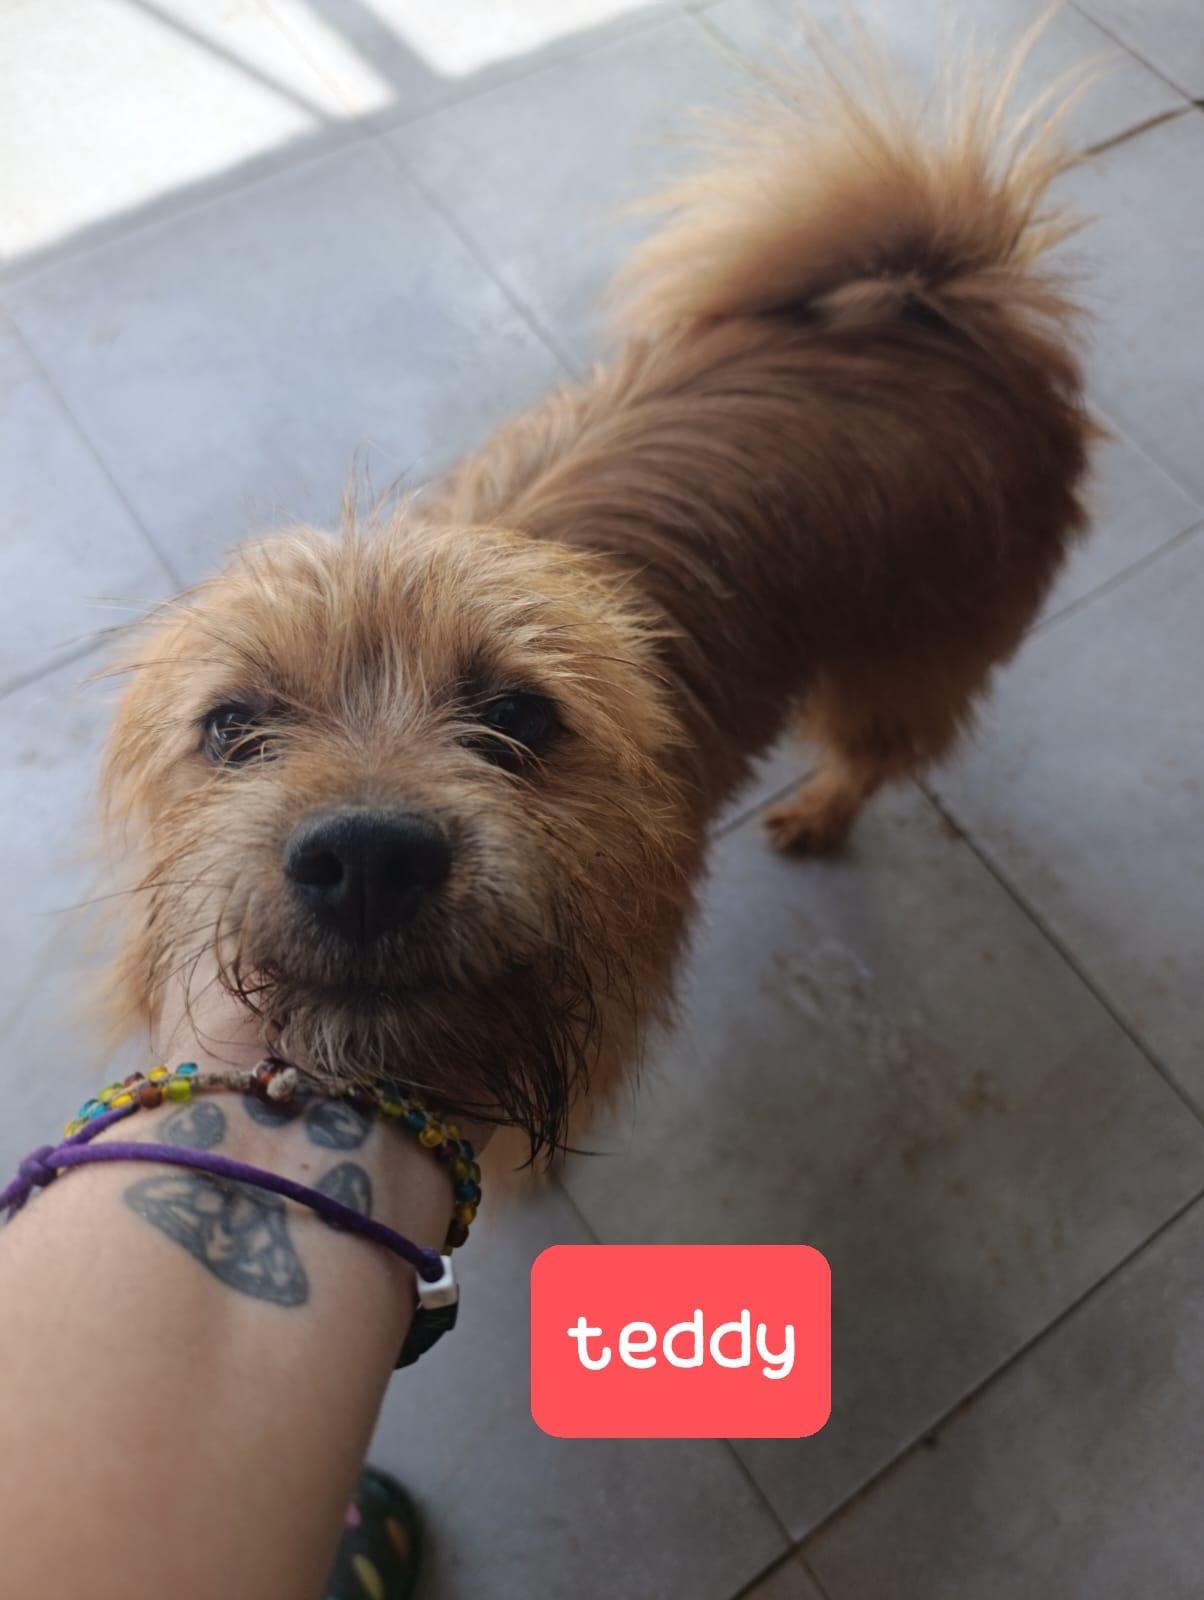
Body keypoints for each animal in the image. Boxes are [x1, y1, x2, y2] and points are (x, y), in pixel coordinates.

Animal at [99, 28, 1093, 1160]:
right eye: (231, 727)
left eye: (522, 716)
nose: (367, 857)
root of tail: (931, 304)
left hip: (907, 655)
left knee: (878, 751)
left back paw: (820, 810)